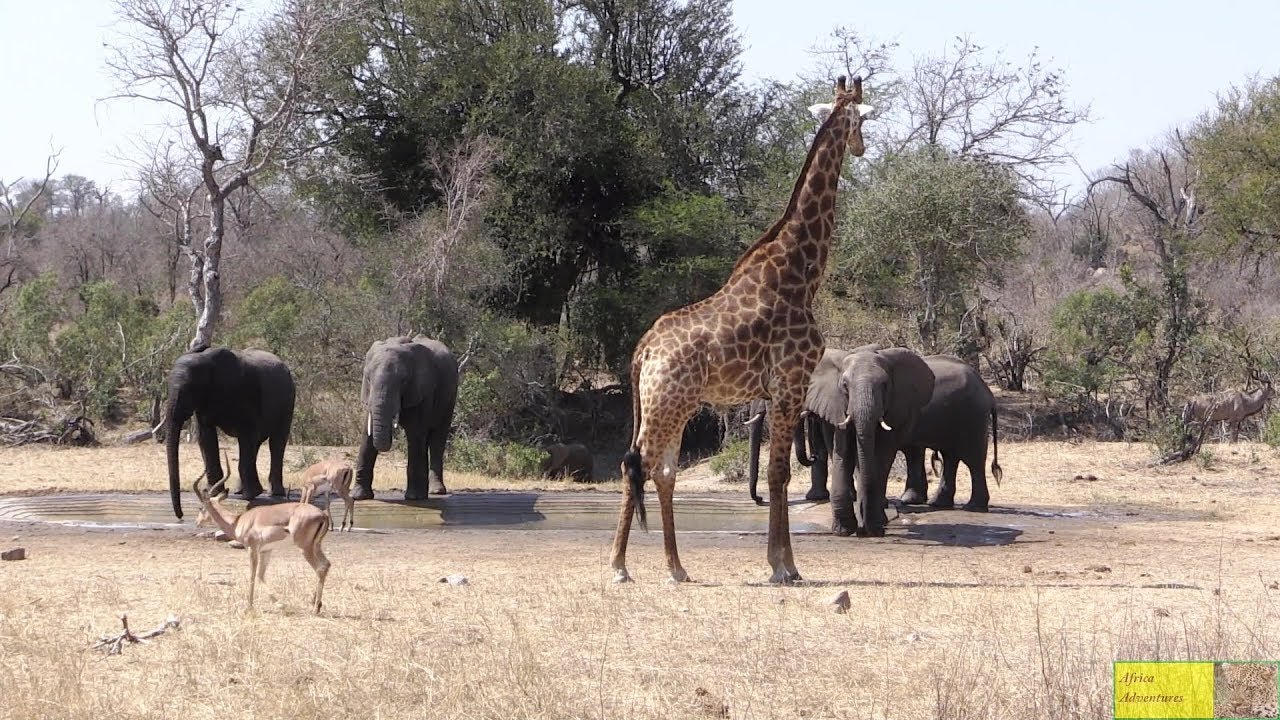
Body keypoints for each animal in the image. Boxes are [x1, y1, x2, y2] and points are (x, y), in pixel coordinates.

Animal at [163, 345, 296, 519]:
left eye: (190, 389)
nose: (181, 516)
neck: (207, 360)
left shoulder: (245, 392)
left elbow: (247, 434)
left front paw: (250, 496)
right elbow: (206, 437)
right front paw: (214, 493)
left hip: (288, 403)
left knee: (276, 443)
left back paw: (274, 493)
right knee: (256, 445)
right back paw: (240, 491)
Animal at [193, 478, 331, 614]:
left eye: (200, 507)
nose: (197, 522)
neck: (238, 522)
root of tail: (323, 515)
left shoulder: (252, 549)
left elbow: (252, 575)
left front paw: (249, 607)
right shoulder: (266, 550)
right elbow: (260, 575)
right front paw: (280, 604)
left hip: (305, 548)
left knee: (319, 569)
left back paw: (315, 608)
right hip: (316, 546)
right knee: (326, 564)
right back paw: (316, 603)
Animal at [355, 335, 459, 501]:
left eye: (403, 381)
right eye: (368, 379)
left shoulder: (422, 390)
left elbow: (415, 434)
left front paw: (414, 498)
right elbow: (367, 435)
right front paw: (359, 496)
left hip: (450, 397)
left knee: (437, 439)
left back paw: (435, 491)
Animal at [611, 76, 873, 584]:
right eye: (862, 120)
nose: (862, 147)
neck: (800, 273)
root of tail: (643, 350)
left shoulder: (778, 390)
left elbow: (777, 473)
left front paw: (783, 563)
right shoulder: (791, 383)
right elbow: (779, 474)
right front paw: (783, 566)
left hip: (672, 405)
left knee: (663, 470)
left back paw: (677, 568)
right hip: (667, 404)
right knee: (636, 463)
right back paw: (618, 567)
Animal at [748, 346, 934, 536]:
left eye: (885, 385)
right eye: (845, 386)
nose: (760, 498)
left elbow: (882, 455)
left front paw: (874, 526)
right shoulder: (836, 405)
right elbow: (842, 452)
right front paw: (843, 530)